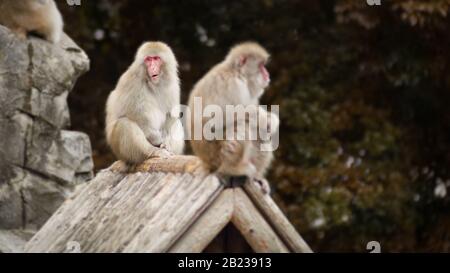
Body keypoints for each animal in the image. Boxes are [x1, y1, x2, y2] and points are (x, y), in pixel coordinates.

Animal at [187, 42, 278, 191]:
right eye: (261, 66)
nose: (267, 74)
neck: (238, 74)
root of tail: (206, 162)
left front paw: (270, 120)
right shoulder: (233, 86)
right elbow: (213, 122)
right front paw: (264, 118)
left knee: (260, 134)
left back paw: (256, 177)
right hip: (216, 156)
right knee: (241, 124)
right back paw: (233, 169)